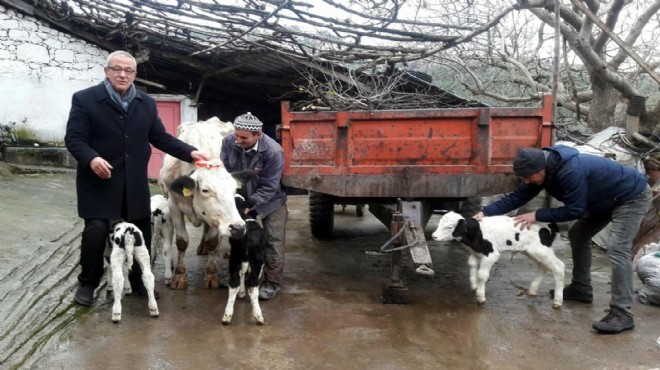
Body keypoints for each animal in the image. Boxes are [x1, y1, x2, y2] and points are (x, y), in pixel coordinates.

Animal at [159, 117, 248, 290]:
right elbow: (182, 241)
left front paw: (212, 275)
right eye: (206, 190)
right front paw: (179, 276)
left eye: (234, 189)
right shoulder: (174, 206)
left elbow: (212, 241)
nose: (239, 228)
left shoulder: (215, 217)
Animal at [223, 195, 266, 326]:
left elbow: (242, 272)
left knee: (233, 283)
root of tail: (246, 235)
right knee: (253, 284)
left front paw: (241, 292)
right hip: (258, 260)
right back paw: (258, 316)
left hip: (234, 257)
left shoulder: (242, 259)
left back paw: (227, 316)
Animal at [430, 211, 564, 310]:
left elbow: (482, 275)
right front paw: (474, 286)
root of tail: (549, 225)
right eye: (440, 223)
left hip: (541, 250)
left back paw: (557, 301)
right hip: (532, 251)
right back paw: (533, 290)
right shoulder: (475, 253)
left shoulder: (491, 254)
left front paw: (480, 297)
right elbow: (472, 266)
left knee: (559, 267)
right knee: (543, 266)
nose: (434, 236)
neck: (476, 233)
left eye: (449, 227)